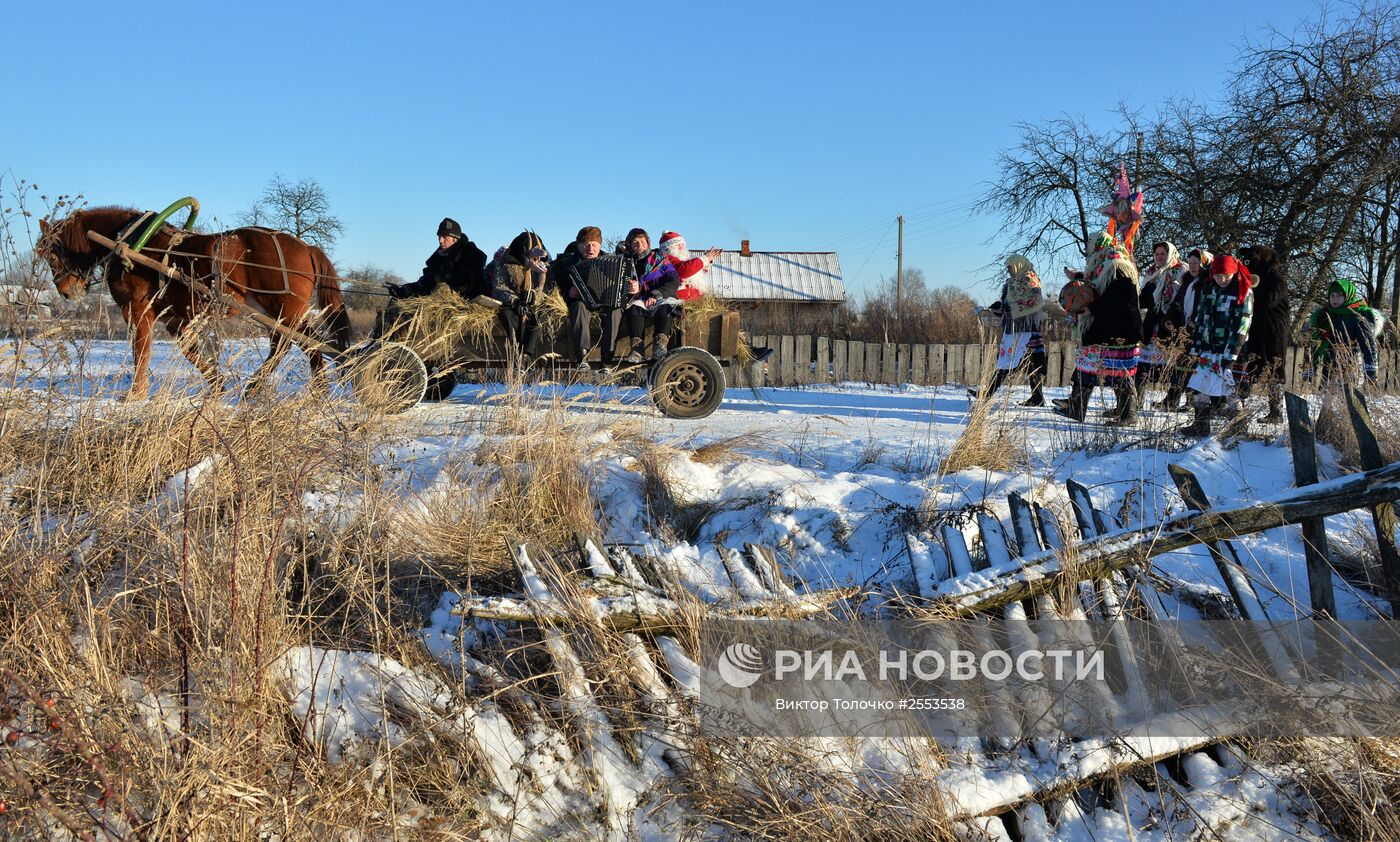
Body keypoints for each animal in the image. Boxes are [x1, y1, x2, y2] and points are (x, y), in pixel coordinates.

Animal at [42, 205, 355, 397]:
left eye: (51, 254)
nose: (66, 291)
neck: (129, 242)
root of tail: (305, 246)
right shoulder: (175, 318)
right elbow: (189, 351)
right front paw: (217, 383)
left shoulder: (137, 310)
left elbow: (141, 352)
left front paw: (135, 393)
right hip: (271, 311)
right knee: (297, 343)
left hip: (284, 310)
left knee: (297, 344)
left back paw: (270, 387)